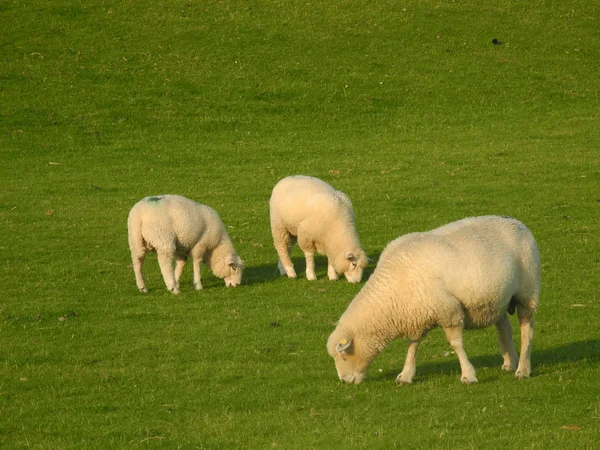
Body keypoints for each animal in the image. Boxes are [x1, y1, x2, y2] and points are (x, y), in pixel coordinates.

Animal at [328, 216, 544, 384]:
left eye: (343, 355)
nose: (344, 381)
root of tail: (518, 223)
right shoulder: (417, 313)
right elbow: (412, 346)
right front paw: (406, 375)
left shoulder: (449, 311)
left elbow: (456, 345)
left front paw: (468, 375)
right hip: (498, 299)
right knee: (504, 327)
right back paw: (509, 362)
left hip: (527, 293)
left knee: (527, 331)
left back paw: (523, 369)